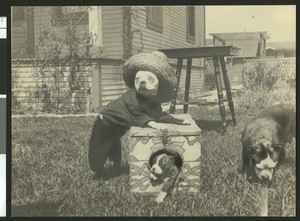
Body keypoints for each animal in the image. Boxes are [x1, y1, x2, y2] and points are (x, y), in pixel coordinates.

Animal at [88, 50, 190, 178]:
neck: (147, 99)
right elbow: (149, 120)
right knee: (96, 163)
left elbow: (169, 117)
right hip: (98, 149)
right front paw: (160, 126)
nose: (142, 82)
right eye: (137, 78)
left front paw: (183, 121)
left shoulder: (158, 113)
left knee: (115, 160)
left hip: (116, 146)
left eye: (150, 77)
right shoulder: (137, 114)